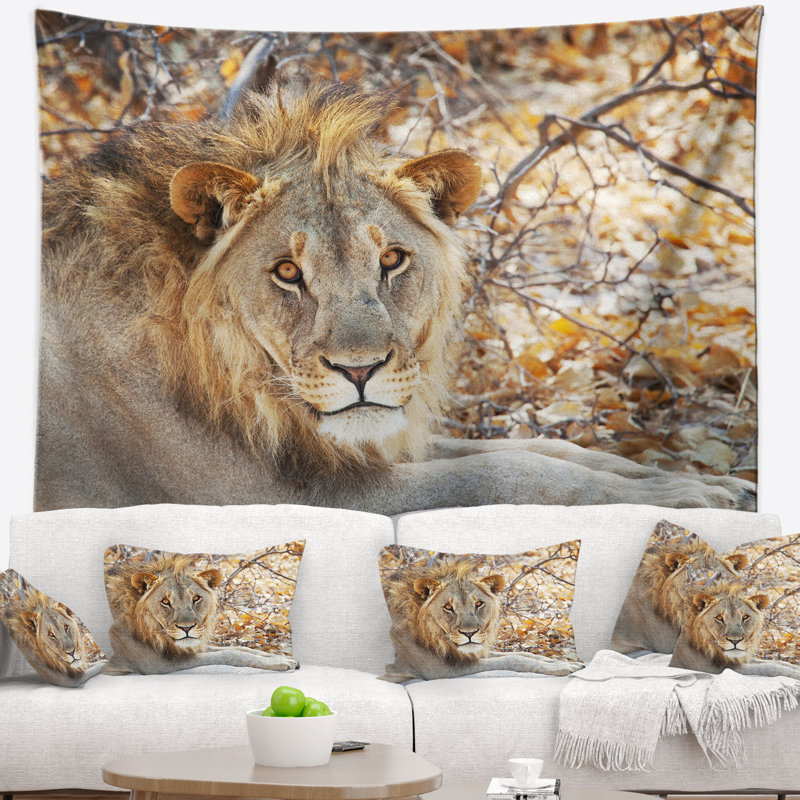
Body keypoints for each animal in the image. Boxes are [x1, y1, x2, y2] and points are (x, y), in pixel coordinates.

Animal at [35, 77, 755, 514]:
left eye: (391, 260)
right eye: (287, 273)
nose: (360, 372)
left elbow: (544, 449)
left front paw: (689, 481)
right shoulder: (282, 498)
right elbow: (507, 475)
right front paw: (685, 502)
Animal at [103, 553, 297, 675]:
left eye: (196, 598)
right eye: (165, 602)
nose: (186, 628)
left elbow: (240, 648)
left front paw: (280, 657)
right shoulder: (157, 664)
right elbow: (230, 654)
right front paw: (279, 662)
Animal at [381, 558, 581, 681]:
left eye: (478, 604)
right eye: (448, 607)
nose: (469, 634)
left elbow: (525, 654)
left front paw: (568, 664)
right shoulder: (440, 670)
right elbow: (513, 660)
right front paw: (562, 668)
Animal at [671, 579, 800, 678]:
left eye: (745, 617)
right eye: (719, 618)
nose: (735, 641)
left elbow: (774, 661)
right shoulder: (717, 669)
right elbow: (769, 667)